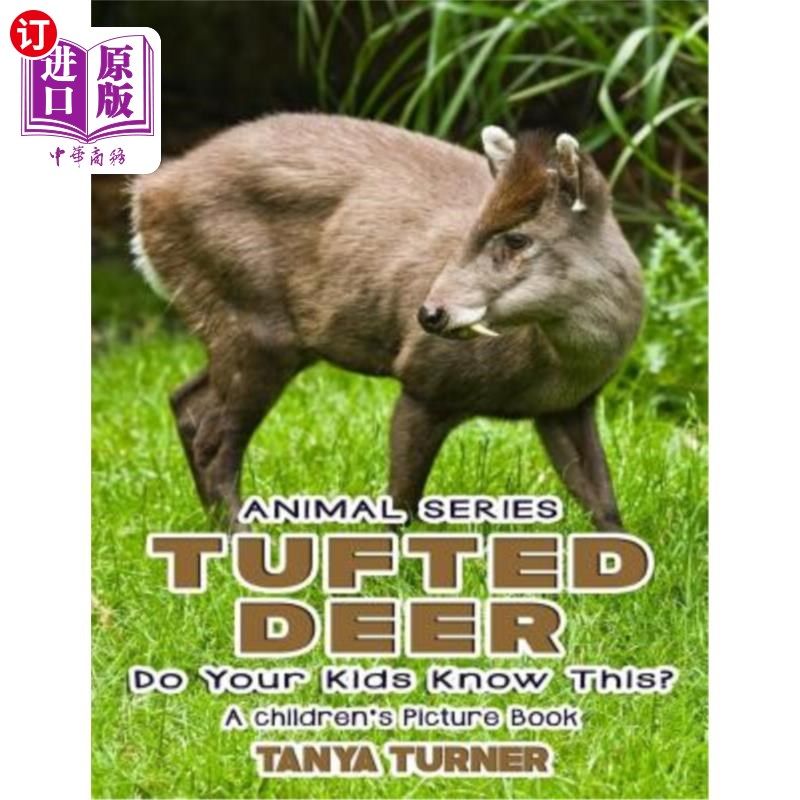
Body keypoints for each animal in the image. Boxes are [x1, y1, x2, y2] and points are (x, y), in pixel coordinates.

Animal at [130, 113, 644, 532]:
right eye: (471, 230)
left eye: (517, 239)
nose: (429, 312)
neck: (552, 365)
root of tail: (146, 195)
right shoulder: (425, 380)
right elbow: (402, 499)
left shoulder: (567, 406)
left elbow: (602, 499)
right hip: (251, 321)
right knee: (214, 440)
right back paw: (244, 540)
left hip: (257, 333)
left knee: (186, 402)